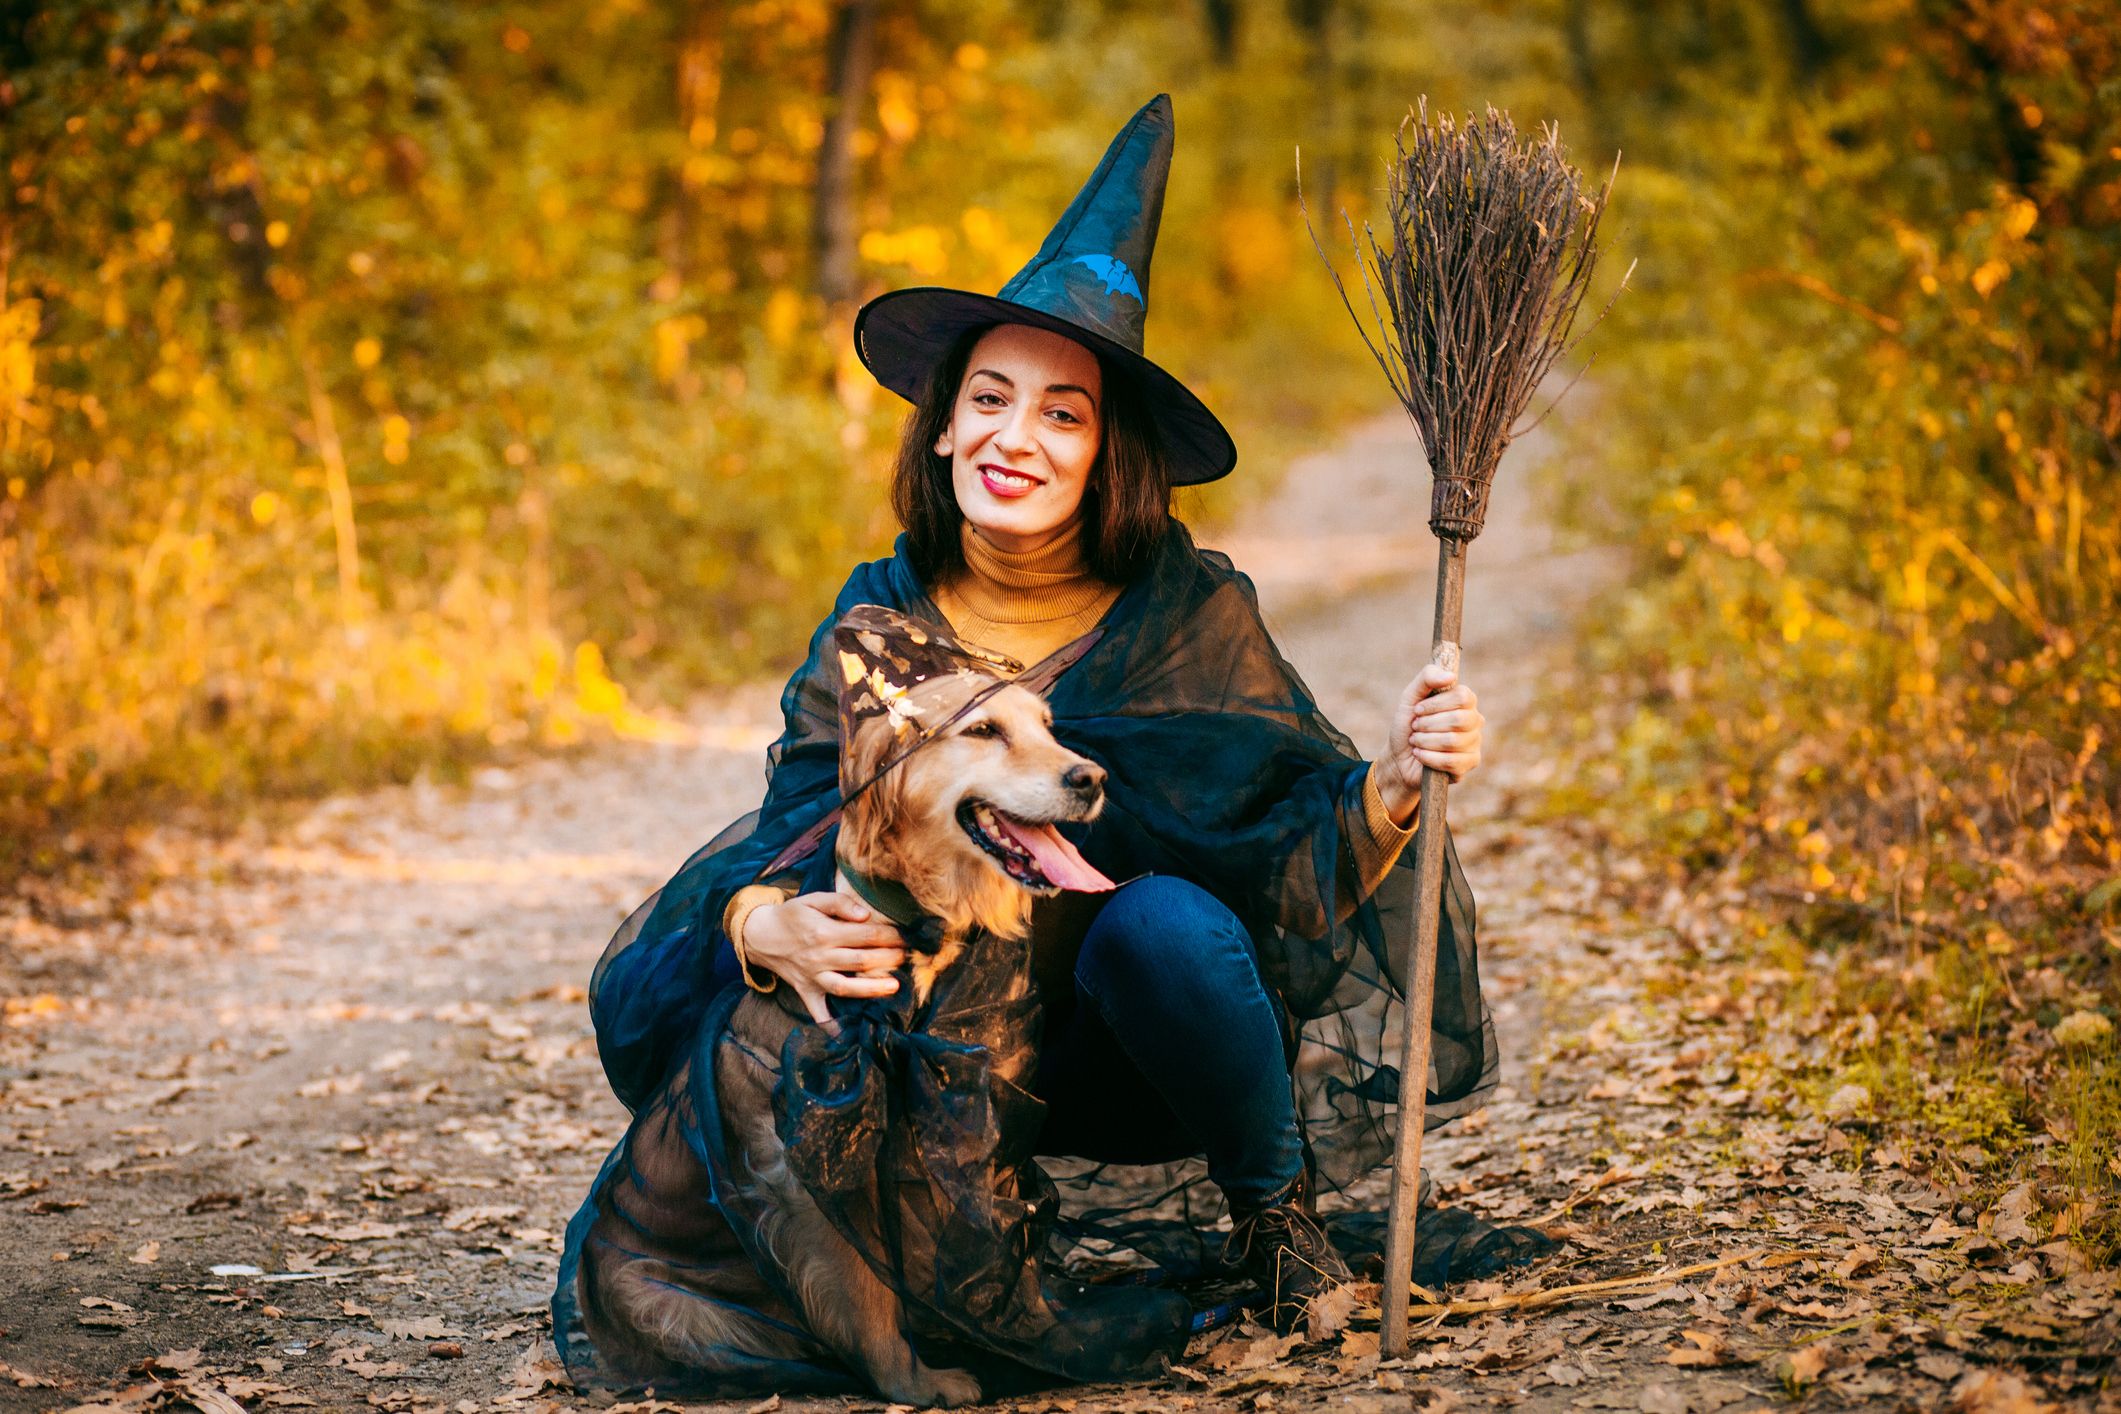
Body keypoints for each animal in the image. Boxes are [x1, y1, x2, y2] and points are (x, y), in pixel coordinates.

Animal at [572, 661, 1119, 1407]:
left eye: (1047, 728)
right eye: (983, 730)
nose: (1091, 778)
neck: (914, 933)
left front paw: (1044, 1337)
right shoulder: (807, 1170)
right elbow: (869, 1293)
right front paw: (915, 1381)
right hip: (669, 1307)